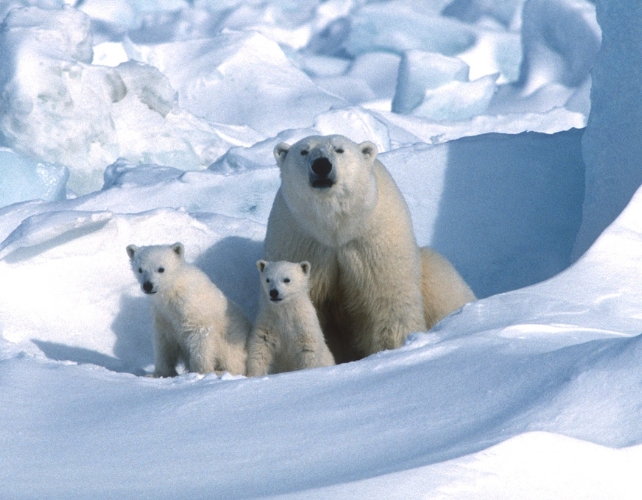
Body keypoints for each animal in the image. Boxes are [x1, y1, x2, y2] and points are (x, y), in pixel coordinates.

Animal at [262, 135, 476, 362]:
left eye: (339, 149)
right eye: (304, 151)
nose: (321, 165)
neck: (335, 229)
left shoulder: (373, 242)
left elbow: (387, 301)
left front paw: (392, 349)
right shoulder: (300, 240)